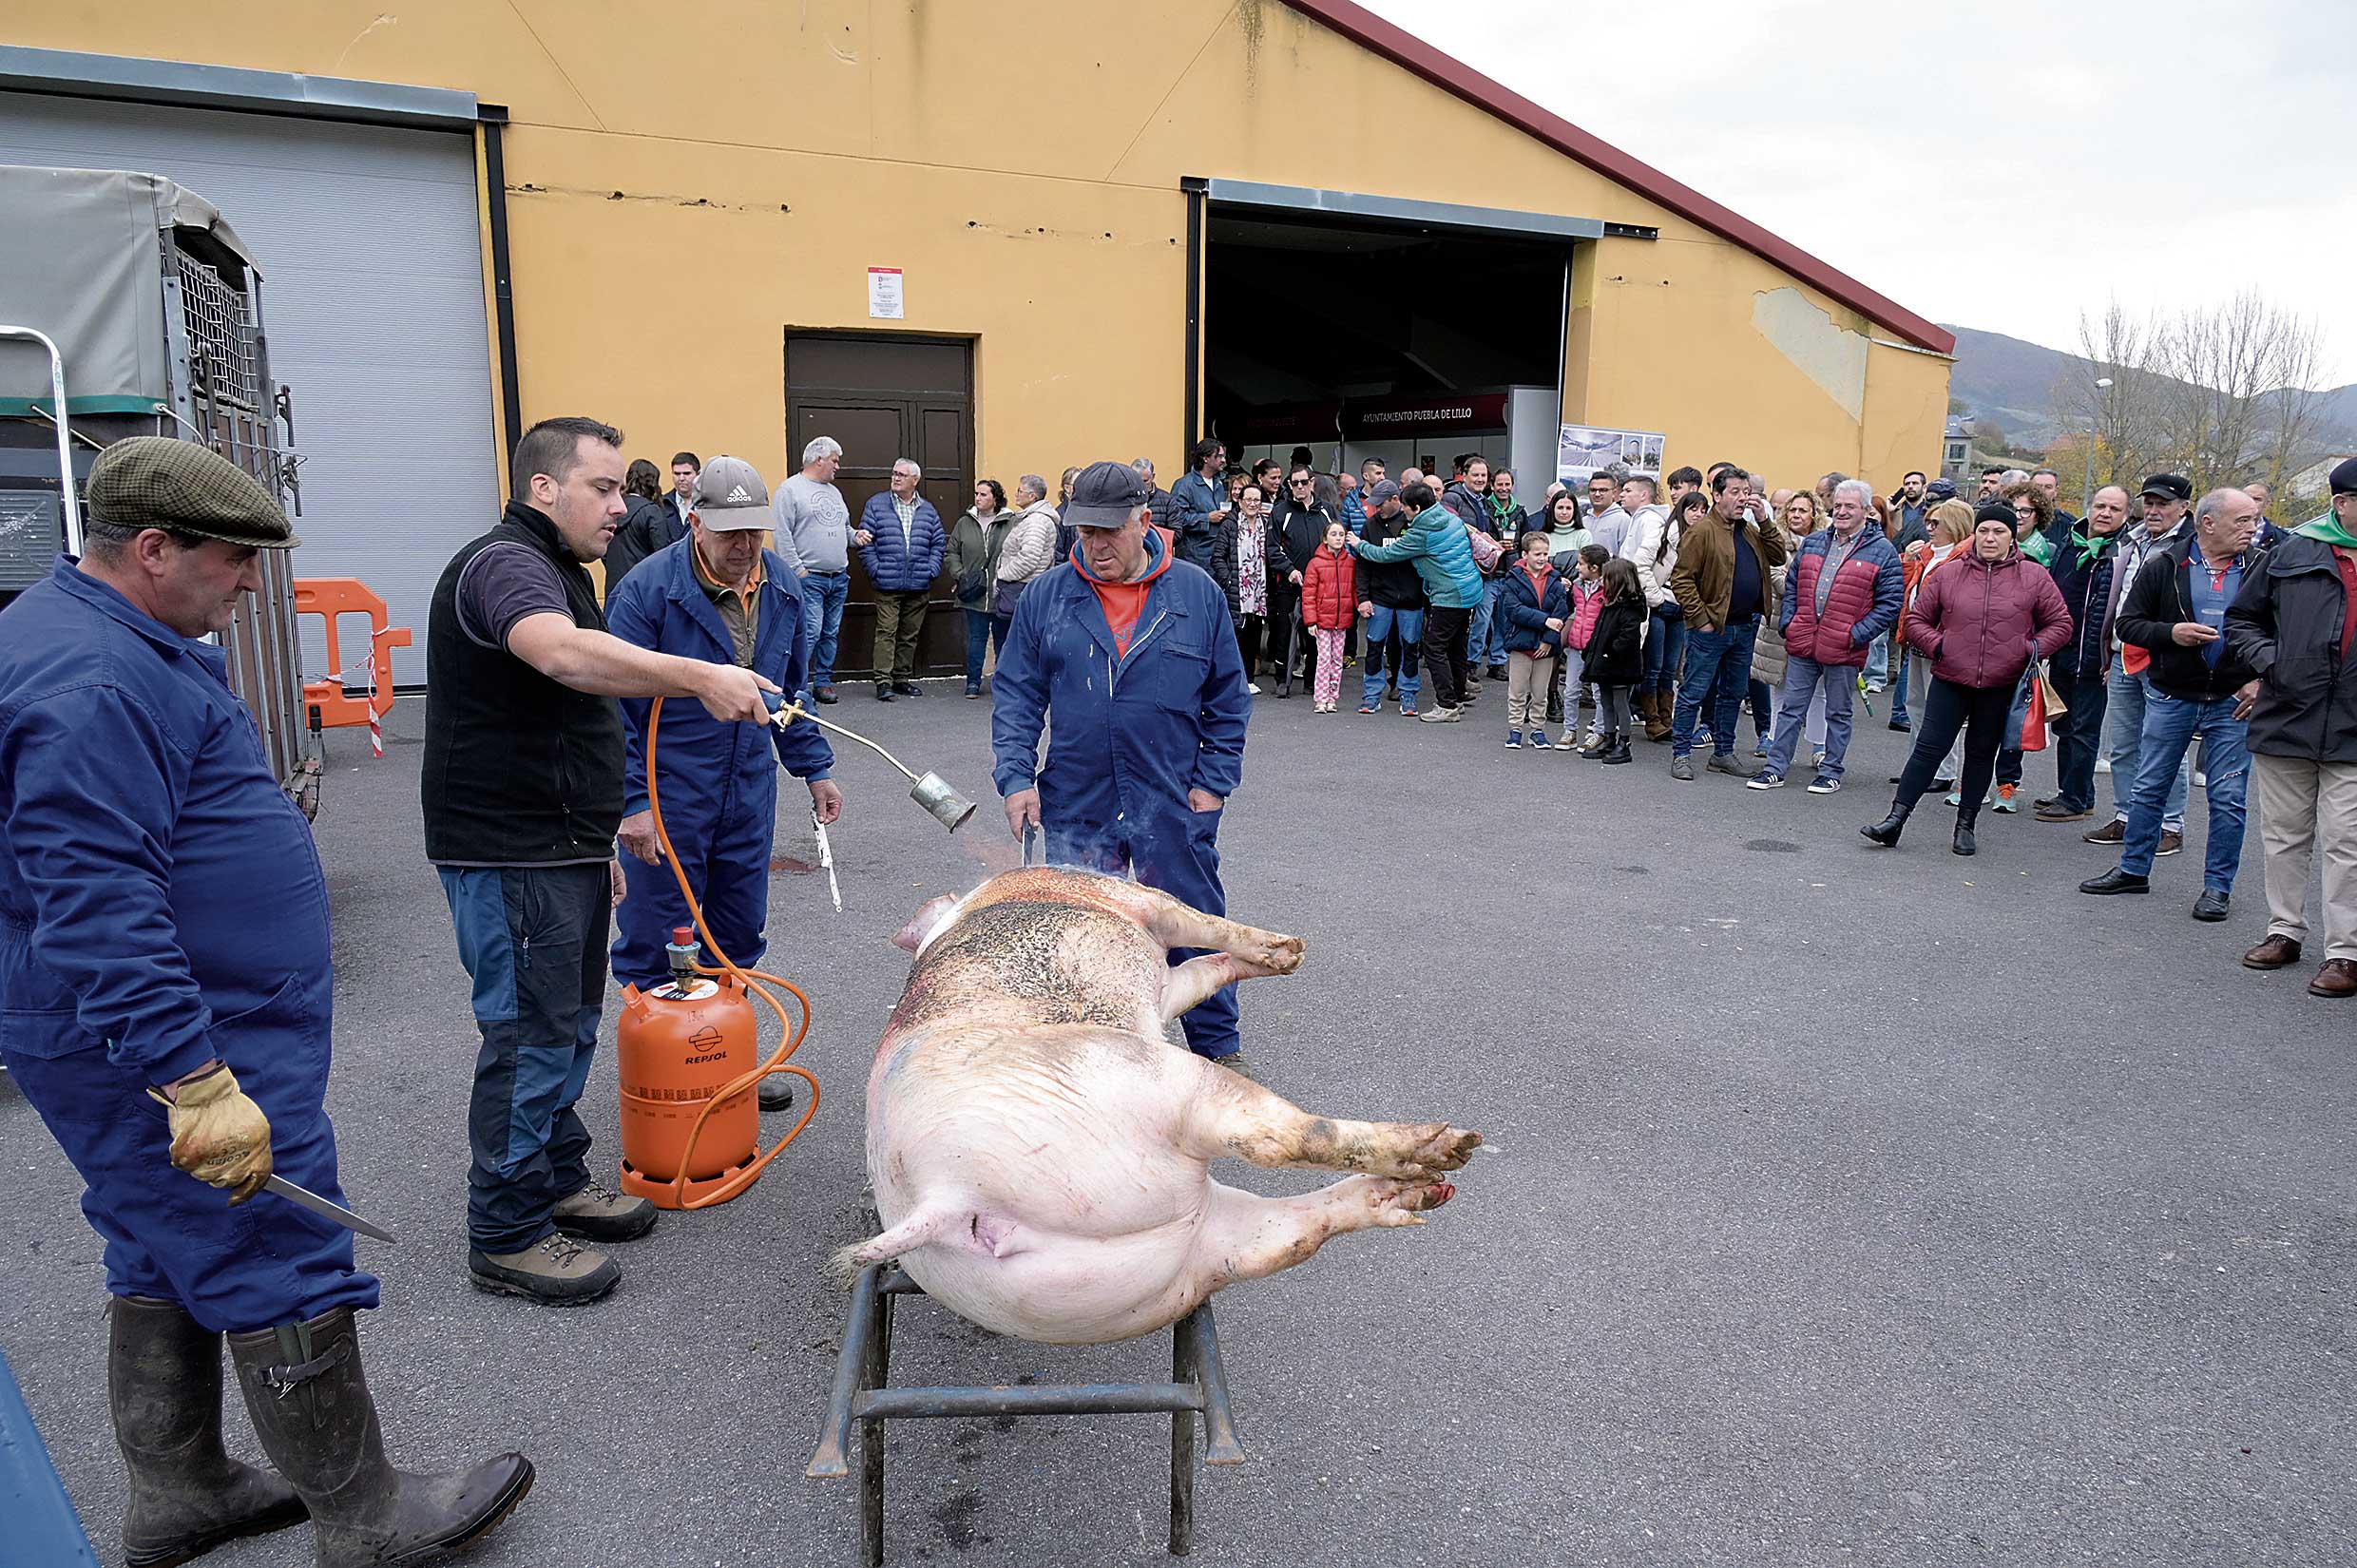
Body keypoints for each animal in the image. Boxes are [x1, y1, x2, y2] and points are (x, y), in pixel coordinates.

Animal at [838, 863, 1480, 1339]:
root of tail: (946, 1198)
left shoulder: (1167, 988)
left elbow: (1202, 973)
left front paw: (1282, 955)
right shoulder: (1128, 897)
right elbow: (1202, 924)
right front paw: (1290, 950)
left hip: (1178, 1266)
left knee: (1288, 1239)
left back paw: (1420, 1194)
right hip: (1151, 1084)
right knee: (1278, 1139)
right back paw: (1448, 1147)